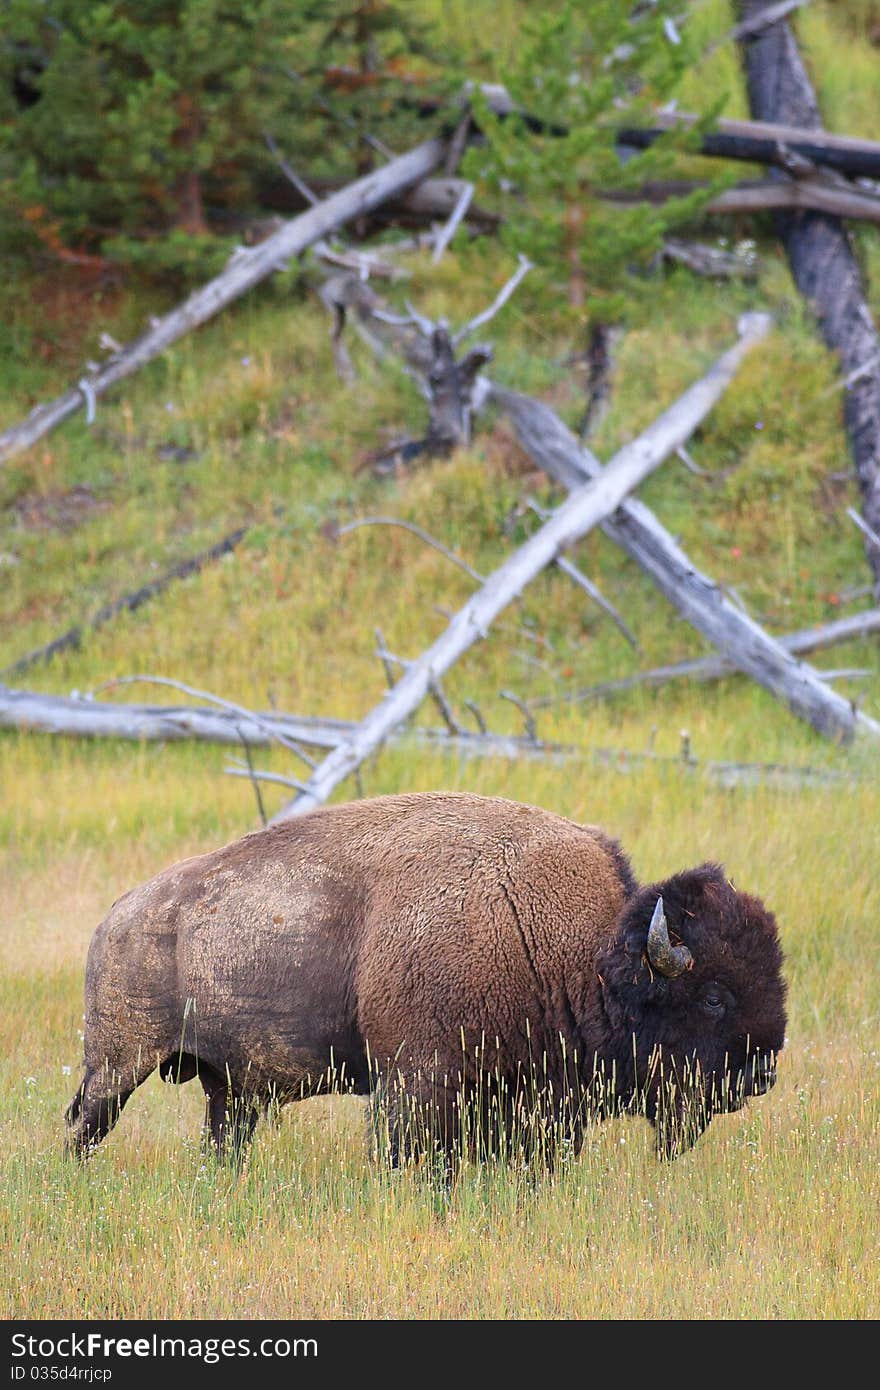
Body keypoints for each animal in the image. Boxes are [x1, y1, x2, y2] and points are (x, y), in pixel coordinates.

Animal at [65, 795, 784, 1162]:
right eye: (714, 997)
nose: (762, 1073)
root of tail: (118, 914)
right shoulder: (419, 1081)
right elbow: (411, 1154)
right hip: (118, 1064)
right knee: (82, 1126)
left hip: (227, 1089)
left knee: (222, 1138)